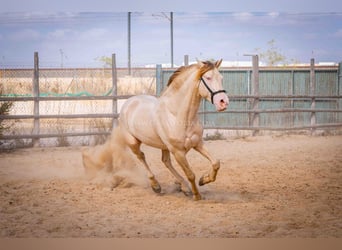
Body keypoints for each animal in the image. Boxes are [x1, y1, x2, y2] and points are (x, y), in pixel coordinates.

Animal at [81, 59, 228, 201]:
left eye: (221, 78)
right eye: (208, 78)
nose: (223, 102)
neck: (177, 114)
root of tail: (129, 102)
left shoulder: (197, 143)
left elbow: (216, 163)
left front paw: (204, 180)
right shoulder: (178, 151)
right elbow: (190, 174)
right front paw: (197, 195)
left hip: (164, 146)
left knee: (165, 161)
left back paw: (183, 187)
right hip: (133, 142)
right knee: (141, 156)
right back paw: (156, 185)